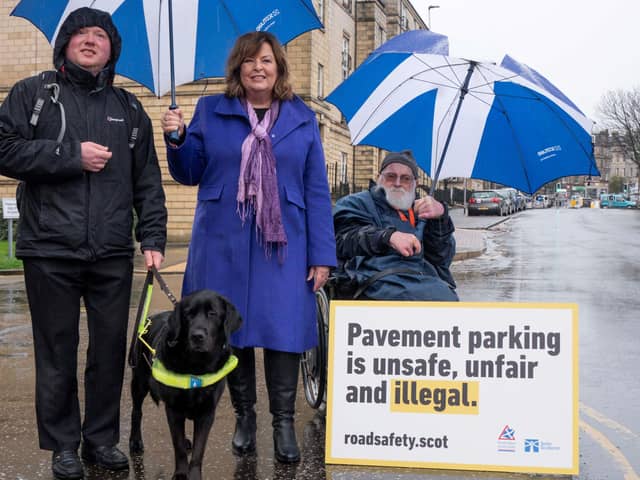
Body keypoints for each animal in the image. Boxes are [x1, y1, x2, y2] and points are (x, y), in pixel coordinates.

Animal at [128, 288, 242, 480]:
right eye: (188, 314)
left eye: (212, 313)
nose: (197, 336)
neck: (196, 365)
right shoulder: (174, 409)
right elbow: (178, 447)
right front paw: (181, 474)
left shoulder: (207, 413)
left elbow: (199, 449)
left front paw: (194, 474)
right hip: (139, 382)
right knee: (136, 412)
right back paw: (135, 441)